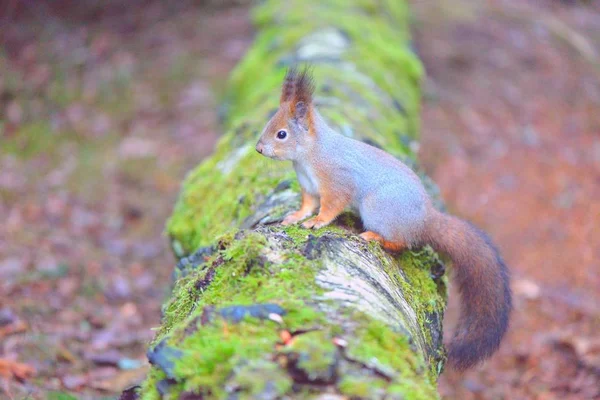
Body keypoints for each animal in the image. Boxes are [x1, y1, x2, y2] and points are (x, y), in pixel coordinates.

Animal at [255, 67, 512, 370]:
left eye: (281, 134)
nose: (259, 149)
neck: (309, 155)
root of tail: (425, 220)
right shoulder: (308, 186)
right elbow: (307, 205)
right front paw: (296, 216)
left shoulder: (337, 182)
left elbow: (331, 206)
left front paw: (318, 222)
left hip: (377, 209)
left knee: (402, 243)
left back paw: (376, 238)